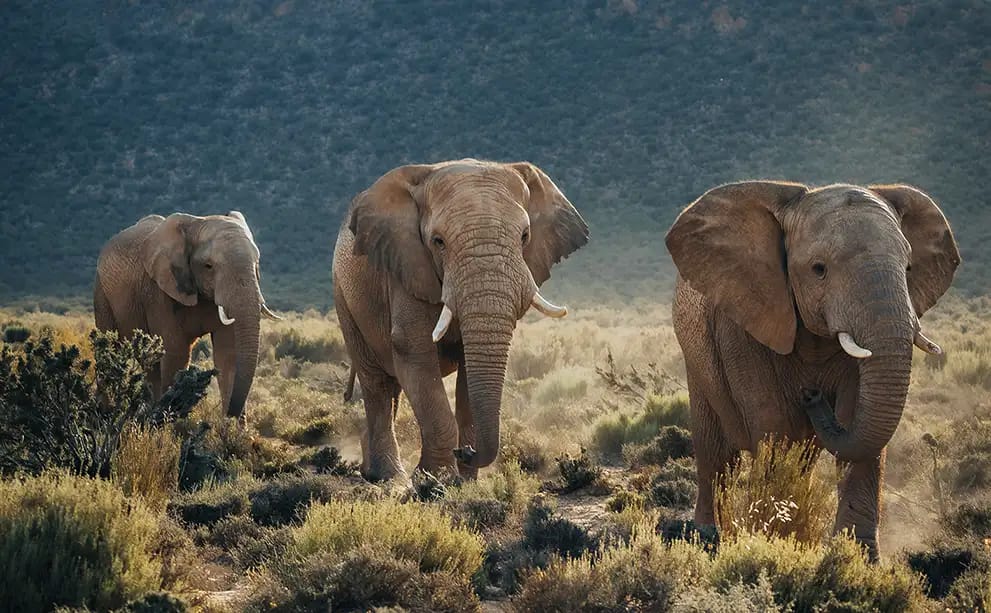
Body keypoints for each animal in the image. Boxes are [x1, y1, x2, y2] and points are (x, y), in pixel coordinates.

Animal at [94, 211, 282, 418]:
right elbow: (176, 353)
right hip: (101, 292)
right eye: (208, 266)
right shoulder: (159, 293)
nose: (231, 414)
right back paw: (106, 412)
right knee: (110, 348)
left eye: (257, 264)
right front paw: (168, 422)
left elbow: (228, 353)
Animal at [332, 159, 588, 481]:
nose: (465, 451)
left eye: (525, 237)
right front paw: (434, 481)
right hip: (345, 298)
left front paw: (465, 482)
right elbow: (413, 352)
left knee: (392, 388)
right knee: (377, 384)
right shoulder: (407, 268)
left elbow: (469, 370)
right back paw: (389, 477)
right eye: (438, 241)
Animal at [665, 181, 959, 559]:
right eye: (819, 269)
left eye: (908, 268)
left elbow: (856, 422)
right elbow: (774, 423)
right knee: (716, 454)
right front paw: (775, 542)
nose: (812, 395)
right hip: (696, 356)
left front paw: (858, 558)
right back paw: (708, 537)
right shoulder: (741, 321)